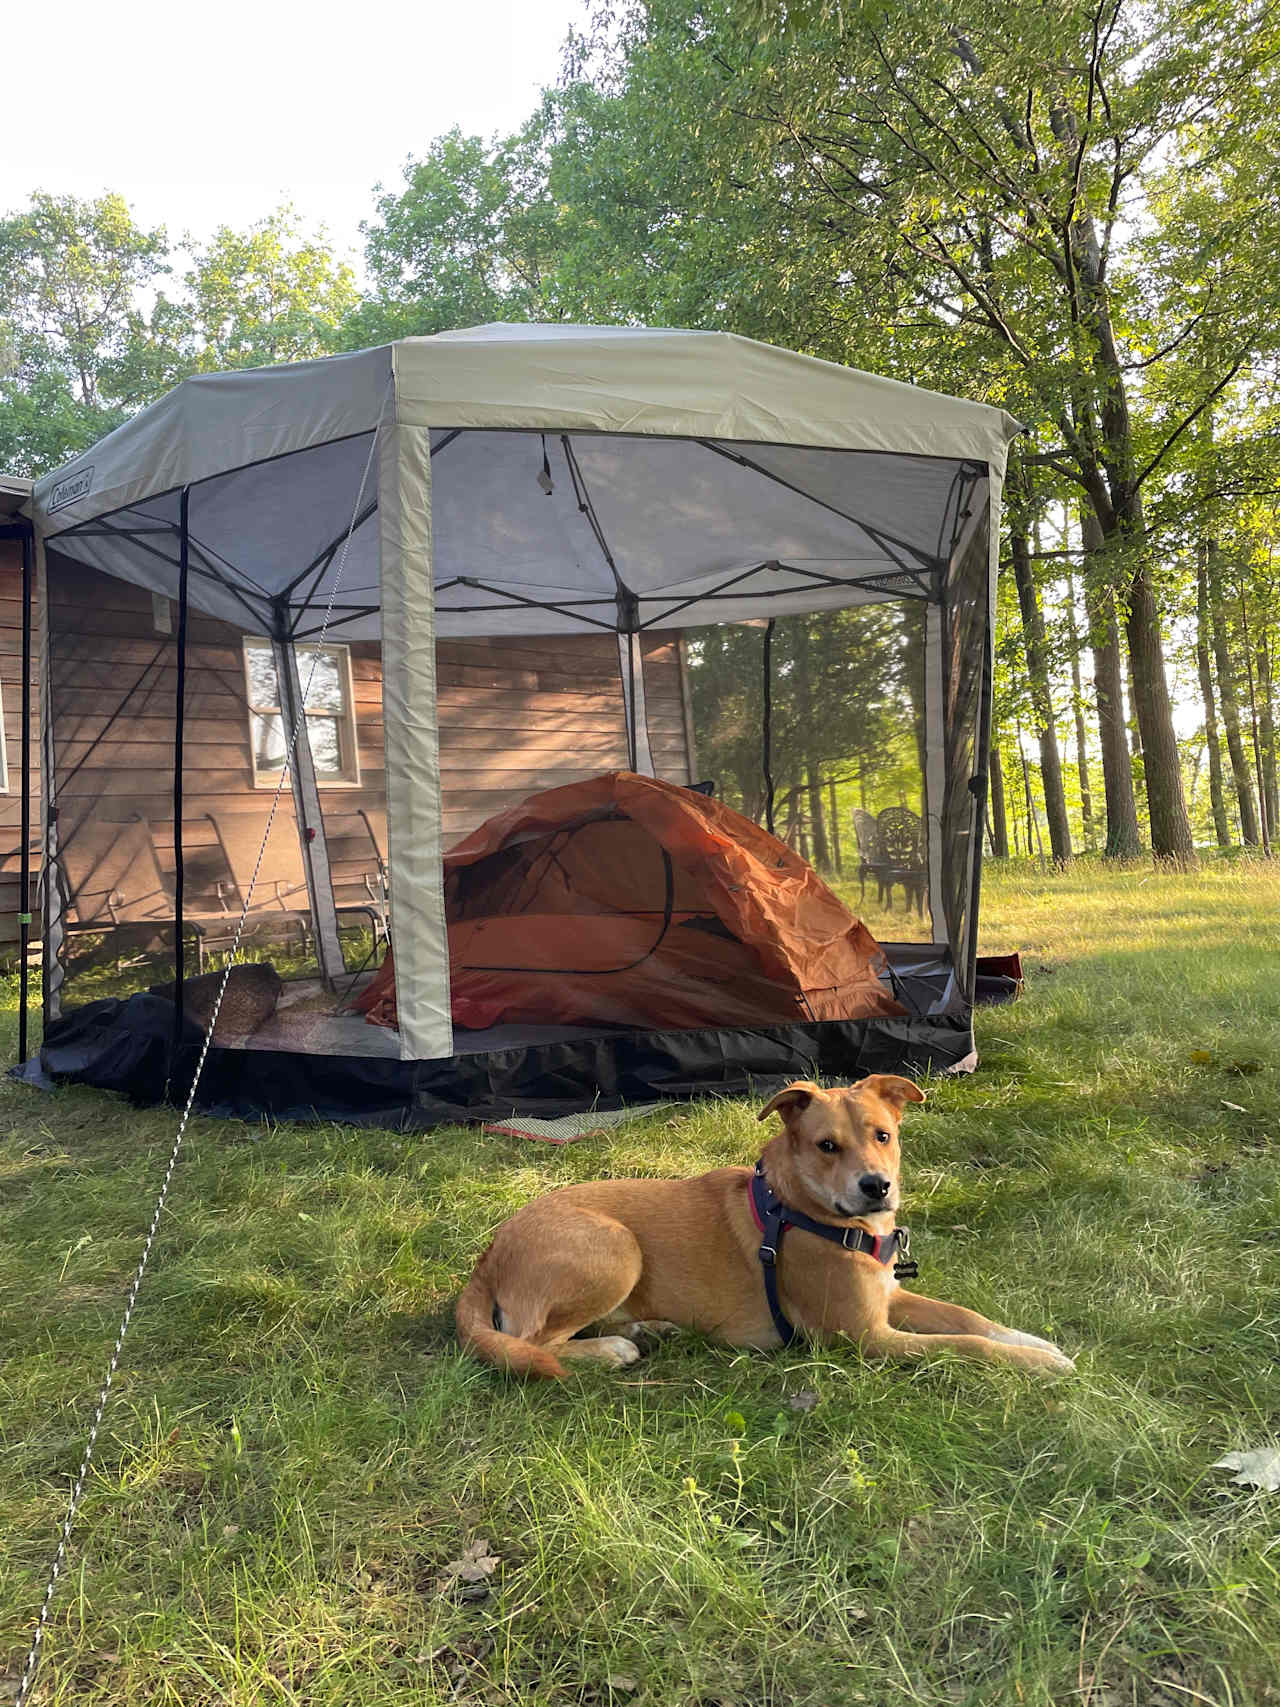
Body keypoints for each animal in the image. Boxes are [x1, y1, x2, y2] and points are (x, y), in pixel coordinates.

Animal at [457, 1078, 1078, 1386]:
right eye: (827, 1145)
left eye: (883, 1135)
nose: (877, 1187)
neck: (811, 1212)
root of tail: (490, 1253)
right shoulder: (868, 1338)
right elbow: (966, 1345)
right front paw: (1039, 1366)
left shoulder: (890, 1299)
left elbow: (969, 1319)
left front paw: (1035, 1342)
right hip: (613, 1248)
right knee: (532, 1343)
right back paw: (612, 1348)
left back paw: (647, 1328)